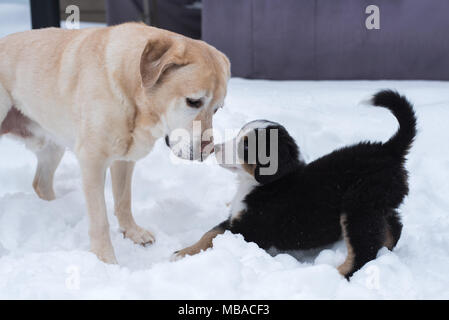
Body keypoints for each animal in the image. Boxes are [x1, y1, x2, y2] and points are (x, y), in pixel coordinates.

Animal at [0, 22, 229, 262]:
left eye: (217, 108)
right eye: (193, 101)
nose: (209, 150)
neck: (130, 91)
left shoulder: (125, 160)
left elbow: (123, 200)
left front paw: (132, 232)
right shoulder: (92, 161)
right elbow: (100, 219)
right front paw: (105, 259)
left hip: (53, 145)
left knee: (41, 184)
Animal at [173, 89, 414, 278]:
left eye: (247, 147)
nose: (215, 148)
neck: (267, 184)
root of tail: (388, 149)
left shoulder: (248, 228)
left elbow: (213, 235)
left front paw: (181, 254)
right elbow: (210, 232)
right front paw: (183, 251)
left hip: (358, 205)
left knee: (364, 250)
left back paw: (334, 275)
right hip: (380, 203)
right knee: (393, 227)